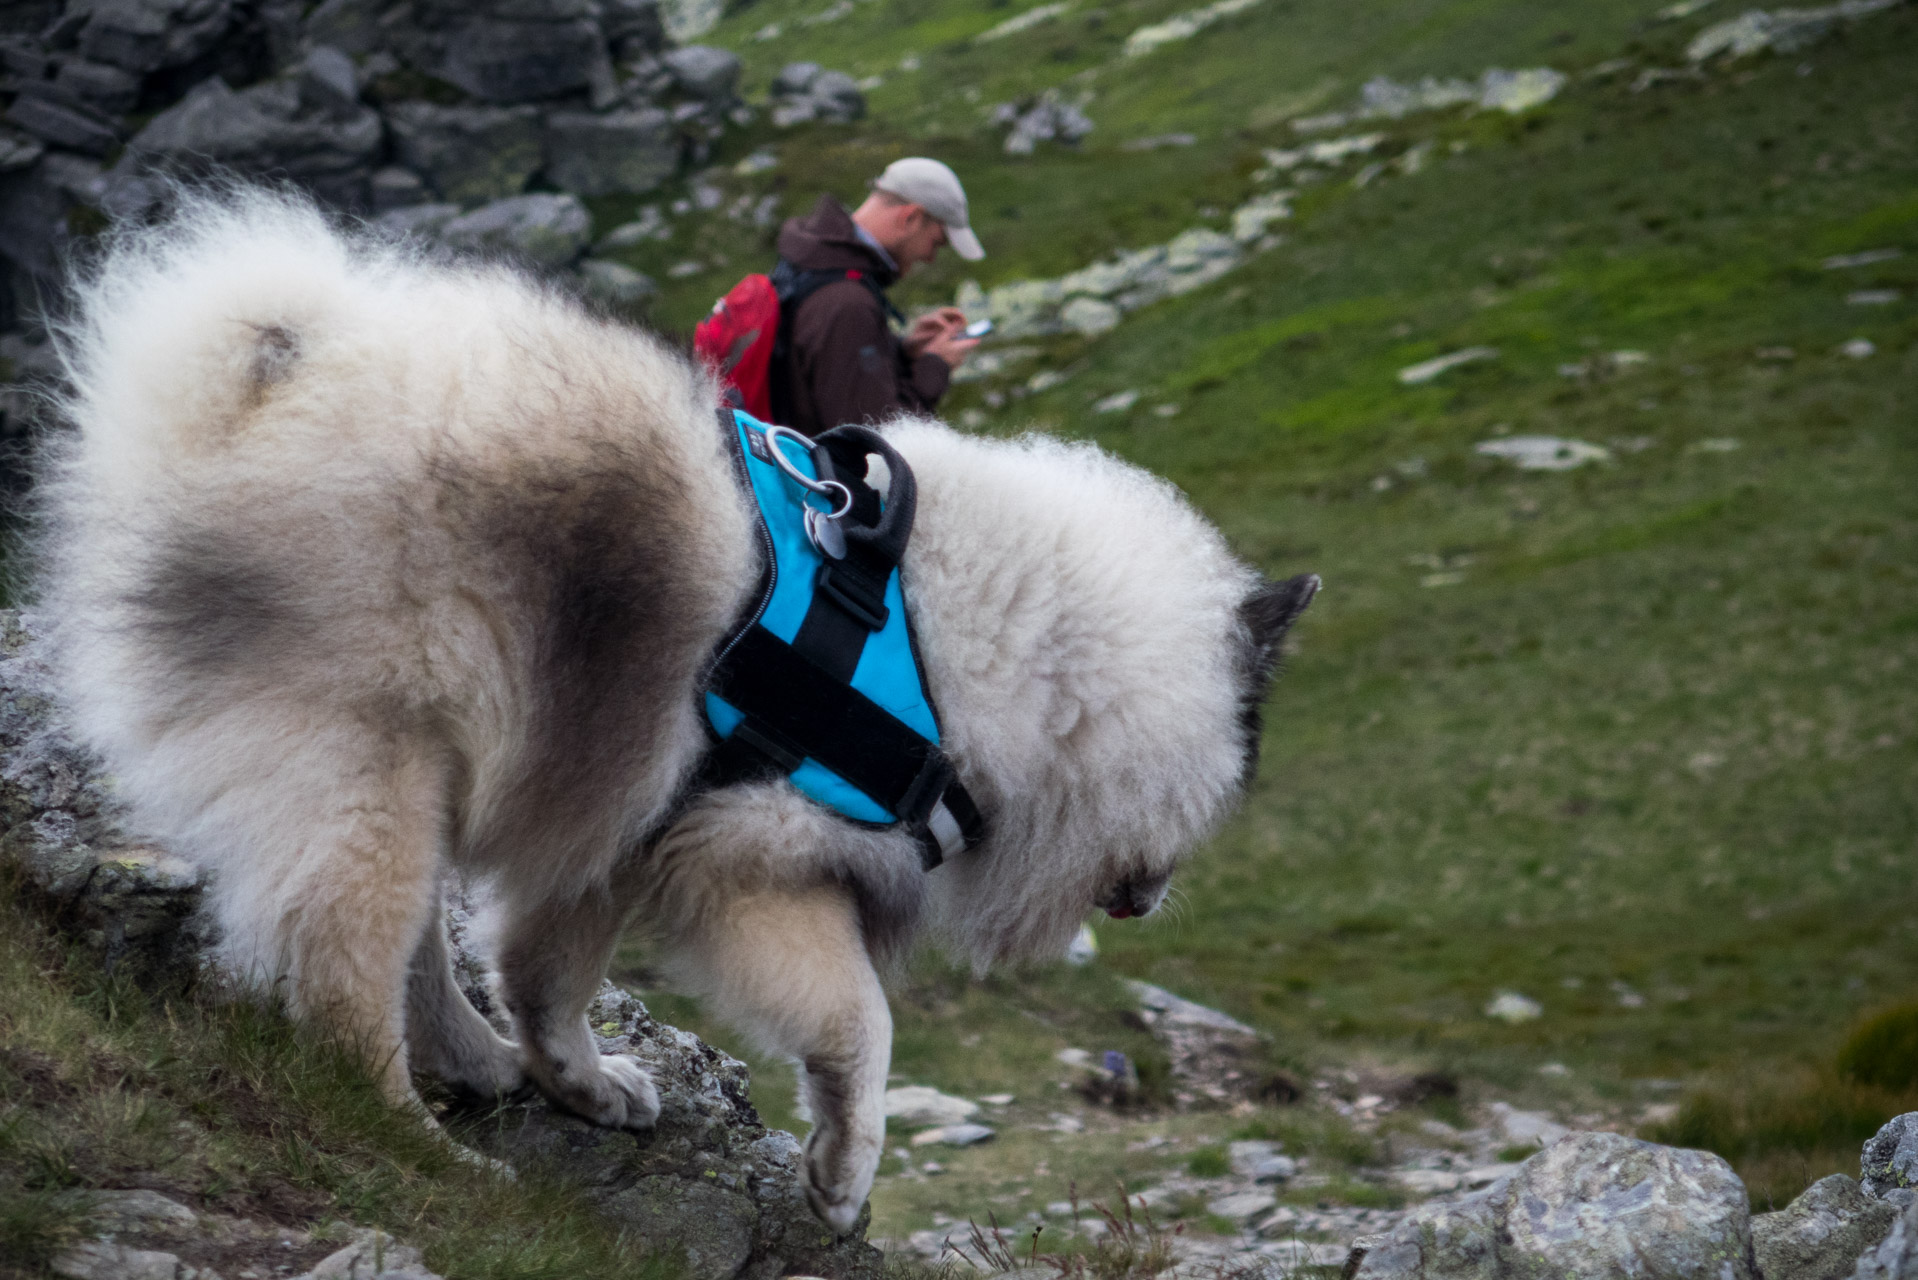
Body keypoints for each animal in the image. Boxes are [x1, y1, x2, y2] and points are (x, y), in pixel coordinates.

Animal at [37, 188, 1319, 1228]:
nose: (1151, 898)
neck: (997, 647)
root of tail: (253, 389)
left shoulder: (626, 823)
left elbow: (548, 973)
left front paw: (578, 1080)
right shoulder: (755, 856)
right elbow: (859, 1024)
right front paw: (841, 1174)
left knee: (417, 951)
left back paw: (476, 1062)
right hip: (367, 771)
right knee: (347, 977)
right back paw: (423, 1145)